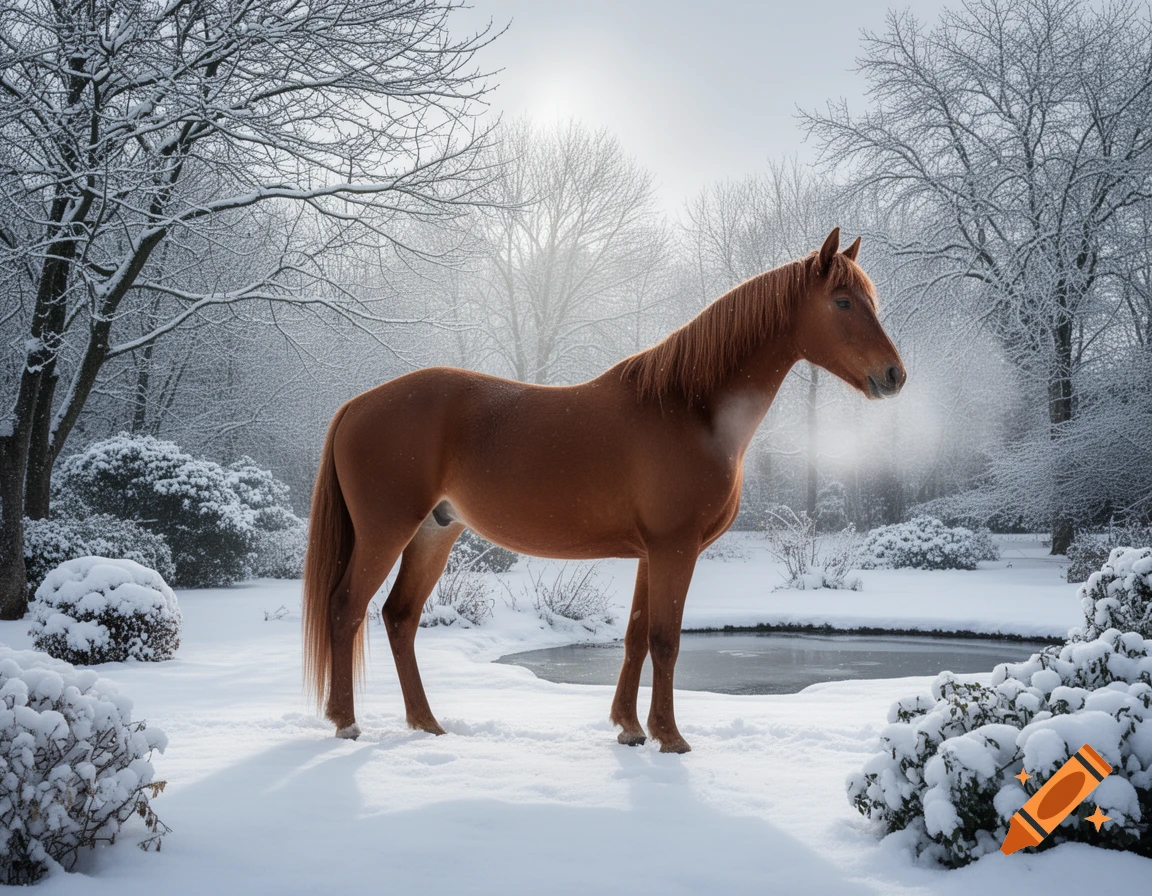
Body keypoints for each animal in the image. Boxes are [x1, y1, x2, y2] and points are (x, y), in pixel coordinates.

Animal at [302, 227, 906, 753]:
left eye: (871, 299)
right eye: (843, 302)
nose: (894, 375)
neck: (690, 409)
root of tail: (356, 404)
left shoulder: (650, 553)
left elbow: (636, 637)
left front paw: (629, 729)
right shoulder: (675, 548)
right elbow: (665, 640)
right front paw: (670, 737)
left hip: (434, 532)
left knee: (399, 618)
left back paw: (427, 724)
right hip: (386, 532)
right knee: (347, 608)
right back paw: (347, 724)